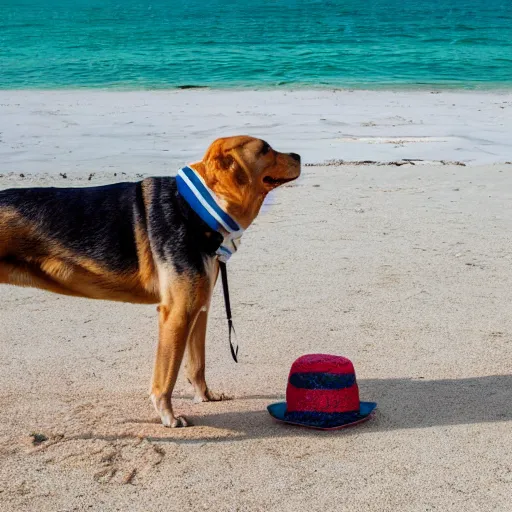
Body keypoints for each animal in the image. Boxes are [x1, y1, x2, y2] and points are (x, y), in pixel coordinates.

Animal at [0, 136, 300, 428]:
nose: (298, 155)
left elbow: (196, 364)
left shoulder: (198, 307)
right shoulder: (177, 313)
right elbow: (166, 376)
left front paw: (204, 396)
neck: (192, 210)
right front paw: (168, 415)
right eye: (265, 149)